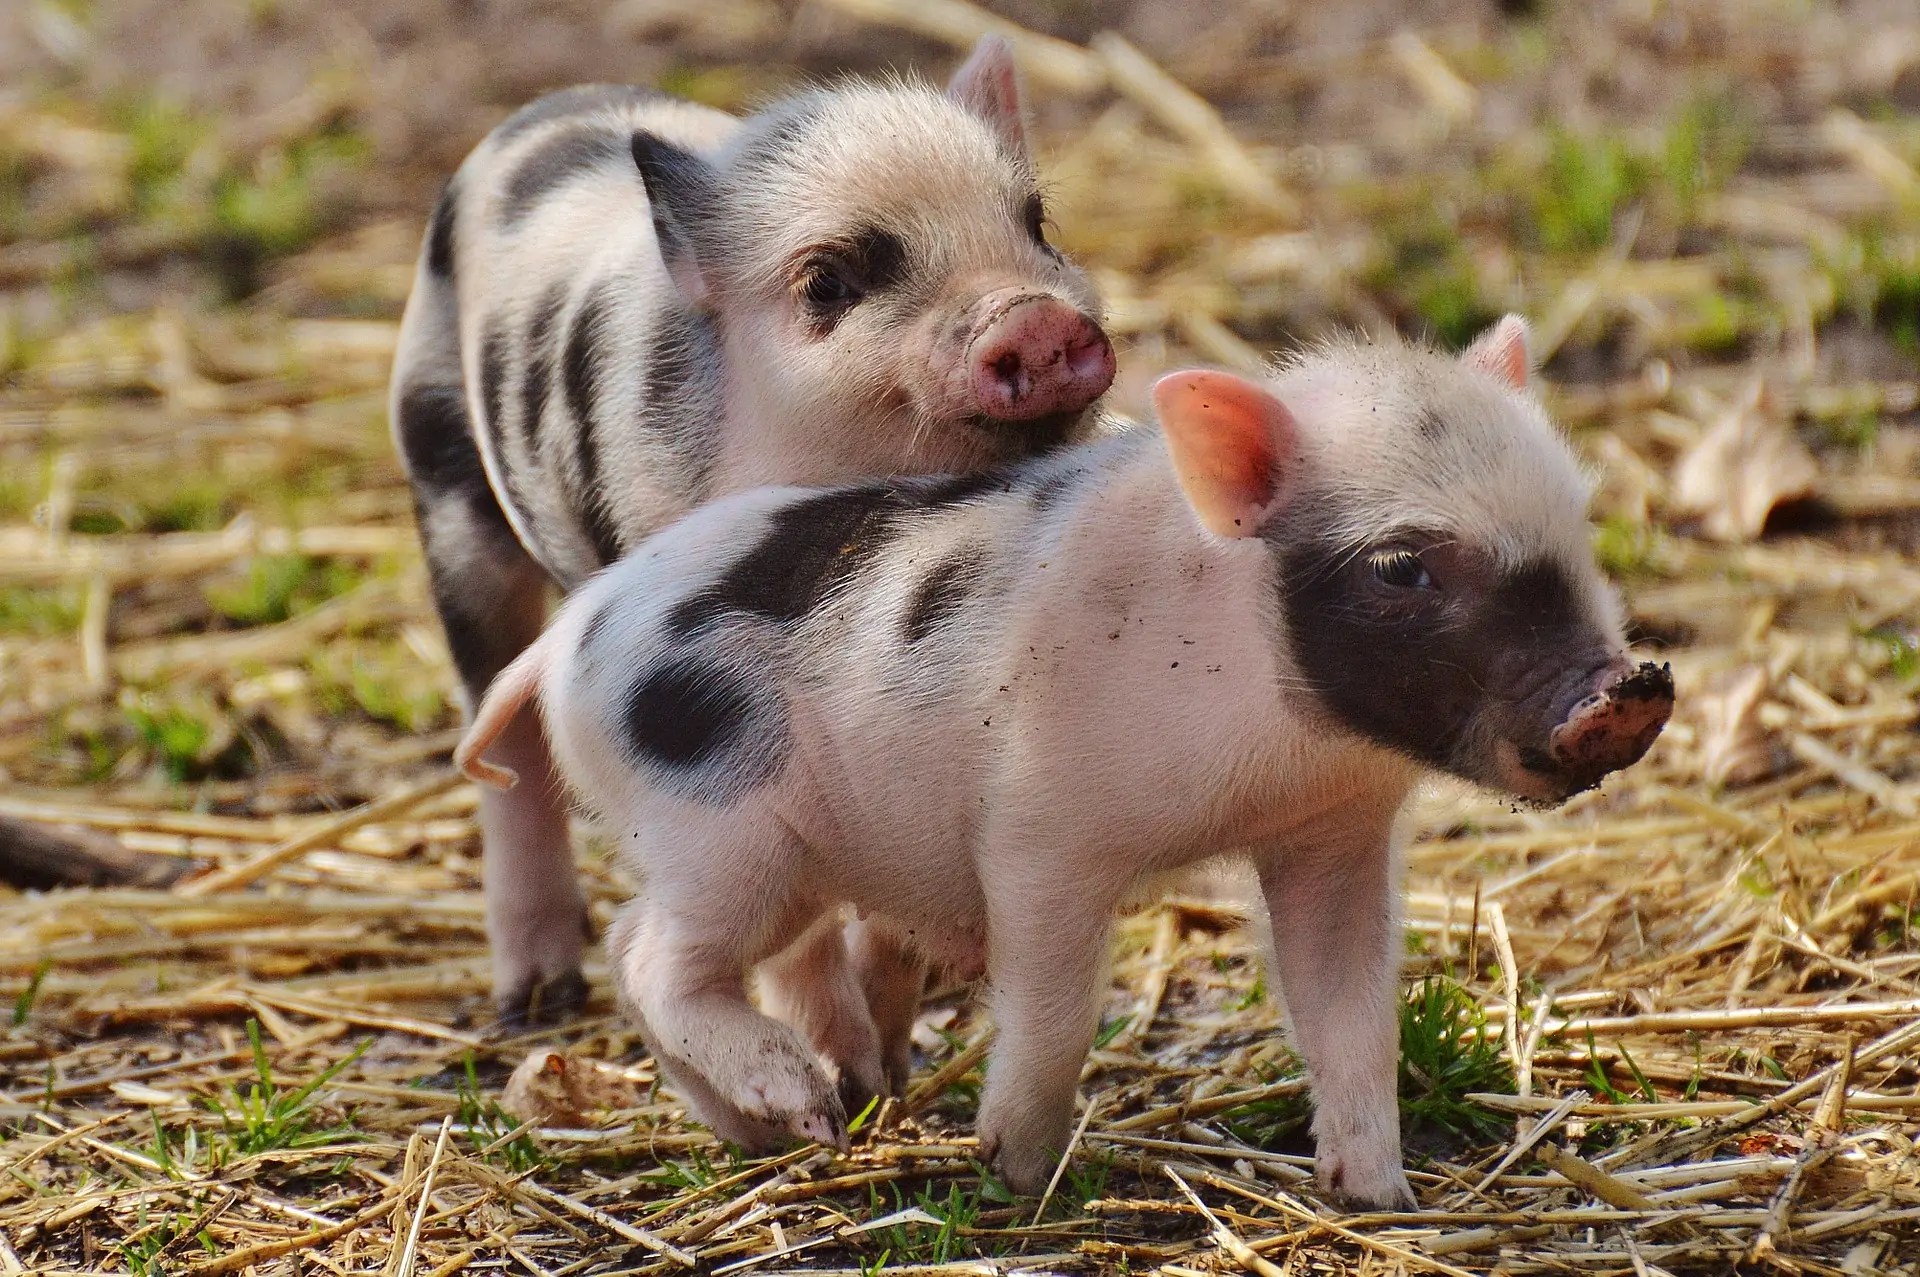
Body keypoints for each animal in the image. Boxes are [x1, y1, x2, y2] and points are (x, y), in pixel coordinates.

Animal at [387, 37, 1114, 1028]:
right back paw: (536, 1001)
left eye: (1038, 224)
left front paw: (890, 1027)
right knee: (501, 733)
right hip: (445, 479)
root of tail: (539, 108)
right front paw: (841, 1059)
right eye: (827, 282)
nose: (1031, 315)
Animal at [454, 318, 1674, 1208]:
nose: (1628, 692)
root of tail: (568, 638)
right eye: (1402, 567)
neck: (1277, 748)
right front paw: (1012, 1173)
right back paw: (805, 1106)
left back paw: (773, 1130)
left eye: (1577, 521)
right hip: (721, 829)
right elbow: (1054, 1010)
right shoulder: (1038, 833)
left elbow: (1350, 1014)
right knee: (651, 955)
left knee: (659, 958)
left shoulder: (1333, 838)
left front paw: (1378, 1196)